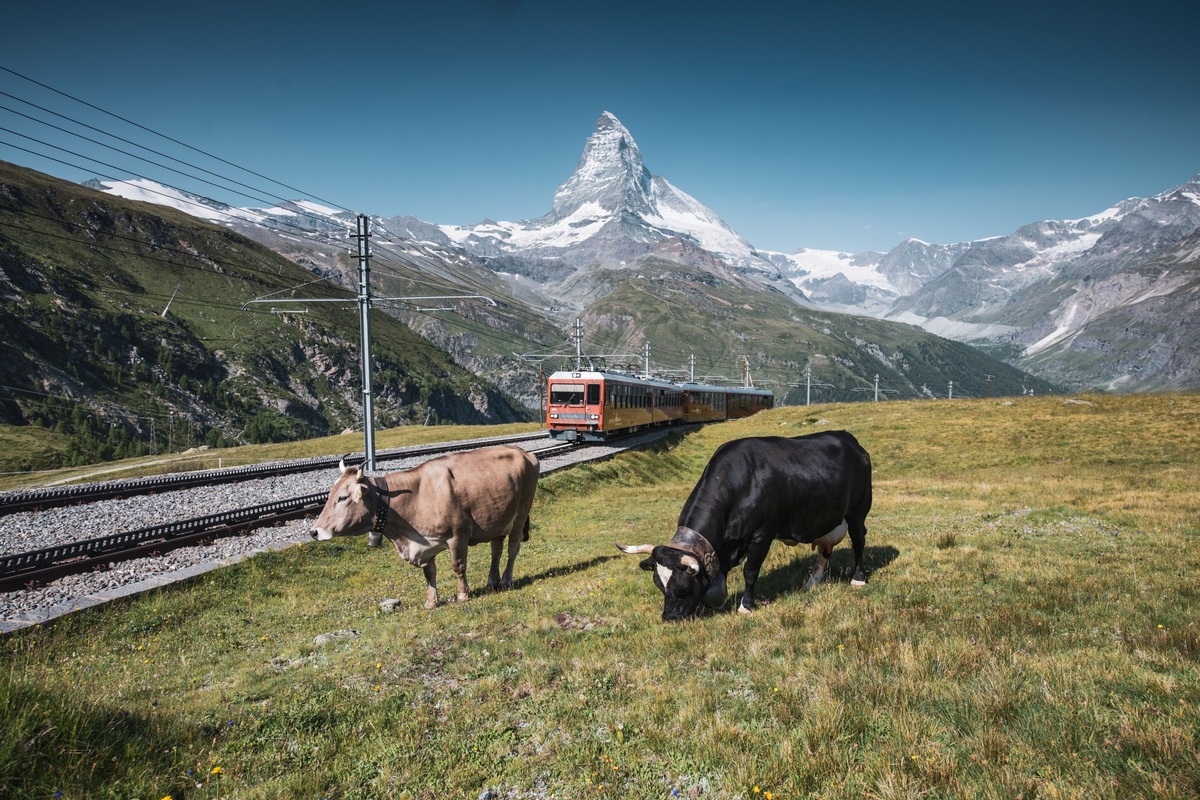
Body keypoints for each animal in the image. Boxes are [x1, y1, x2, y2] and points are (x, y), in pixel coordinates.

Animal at [309, 448, 540, 609]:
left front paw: (463, 594)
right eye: (330, 494)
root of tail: (524, 452)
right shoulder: (425, 544)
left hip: (521, 513)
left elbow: (458, 566)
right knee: (496, 549)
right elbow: (429, 573)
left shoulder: (458, 534)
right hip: (498, 518)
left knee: (512, 548)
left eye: (342, 498)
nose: (314, 531)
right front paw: (431, 602)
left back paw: (507, 580)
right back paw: (492, 581)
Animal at [619, 429, 873, 623]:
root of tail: (848, 438)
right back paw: (811, 583)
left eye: (683, 589)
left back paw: (858, 578)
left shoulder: (763, 534)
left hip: (857, 512)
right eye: (660, 586)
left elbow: (750, 571)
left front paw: (746, 605)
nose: (669, 618)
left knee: (859, 541)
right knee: (825, 550)